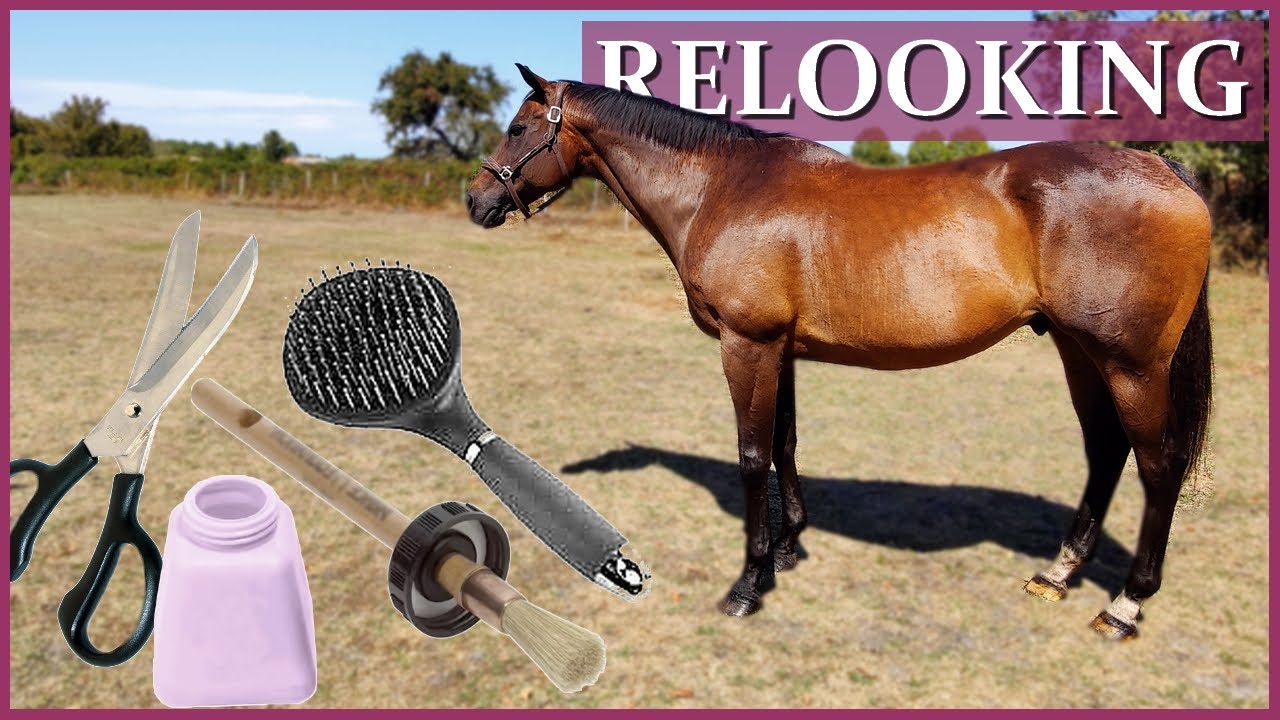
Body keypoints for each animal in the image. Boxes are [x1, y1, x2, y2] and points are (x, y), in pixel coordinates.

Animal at [466, 64, 1213, 639]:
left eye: (519, 128)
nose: (476, 199)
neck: (721, 188)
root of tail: (1165, 170)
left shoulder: (748, 345)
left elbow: (752, 457)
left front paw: (748, 584)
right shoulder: (782, 349)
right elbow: (786, 443)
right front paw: (790, 547)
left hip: (1132, 366)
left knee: (1158, 467)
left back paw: (1124, 604)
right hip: (1078, 351)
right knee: (1106, 451)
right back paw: (1058, 572)